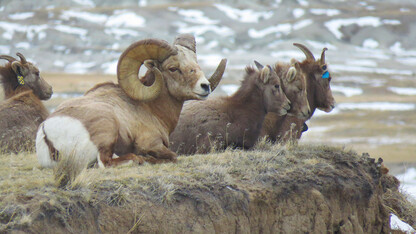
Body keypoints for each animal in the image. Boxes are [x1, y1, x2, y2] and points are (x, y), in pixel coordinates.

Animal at [36, 33, 228, 168]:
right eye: (173, 68)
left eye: (196, 63)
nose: (205, 86)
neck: (151, 109)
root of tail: (48, 130)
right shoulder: (151, 143)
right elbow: (173, 156)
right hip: (107, 127)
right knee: (106, 162)